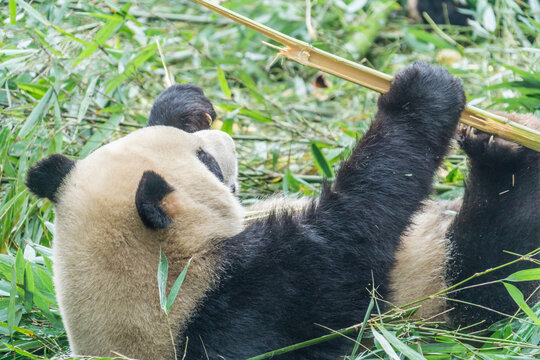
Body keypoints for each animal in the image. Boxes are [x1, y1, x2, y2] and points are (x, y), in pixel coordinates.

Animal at [26, 63, 540, 358]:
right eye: (207, 162)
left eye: (202, 150)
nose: (224, 138)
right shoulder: (262, 302)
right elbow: (358, 228)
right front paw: (420, 94)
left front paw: (183, 104)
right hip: (440, 296)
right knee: (493, 267)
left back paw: (499, 145)